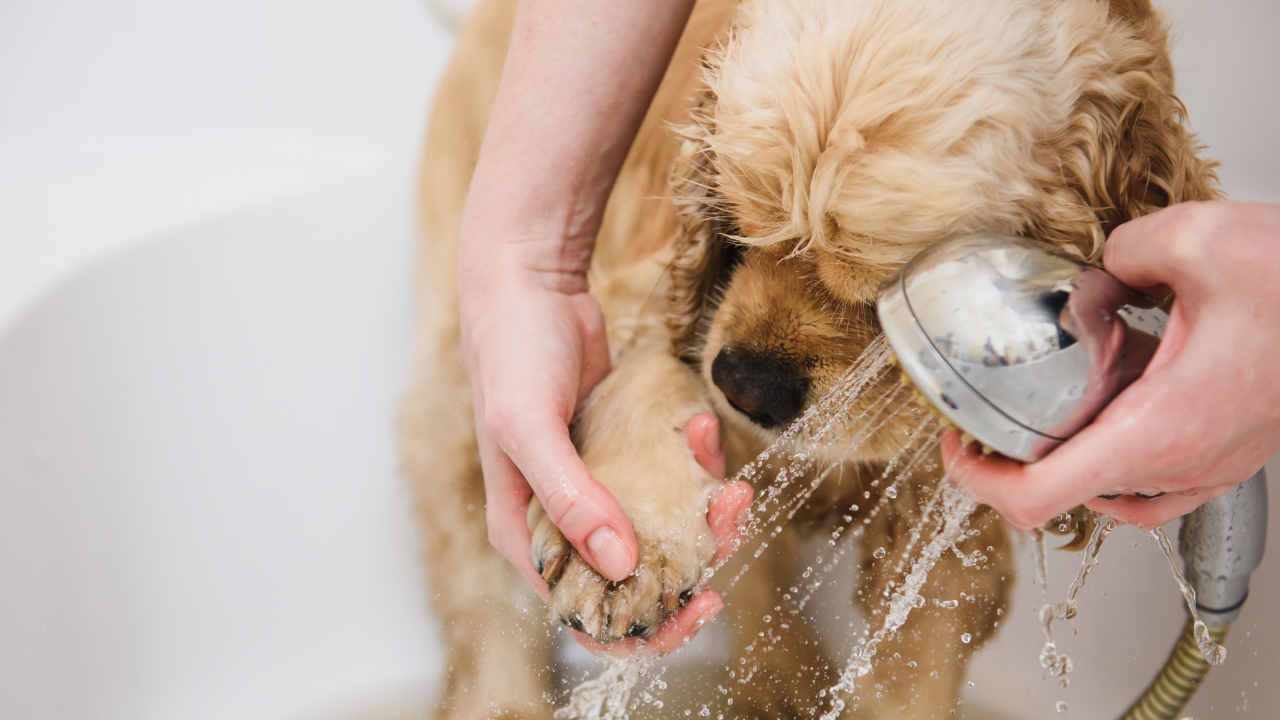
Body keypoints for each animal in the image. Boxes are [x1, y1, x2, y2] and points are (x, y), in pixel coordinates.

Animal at [401, 0, 1218, 712]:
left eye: (888, 291)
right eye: (735, 218)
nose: (744, 386)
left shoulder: (949, 522)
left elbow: (911, 667)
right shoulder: (648, 288)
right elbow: (647, 376)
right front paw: (624, 549)